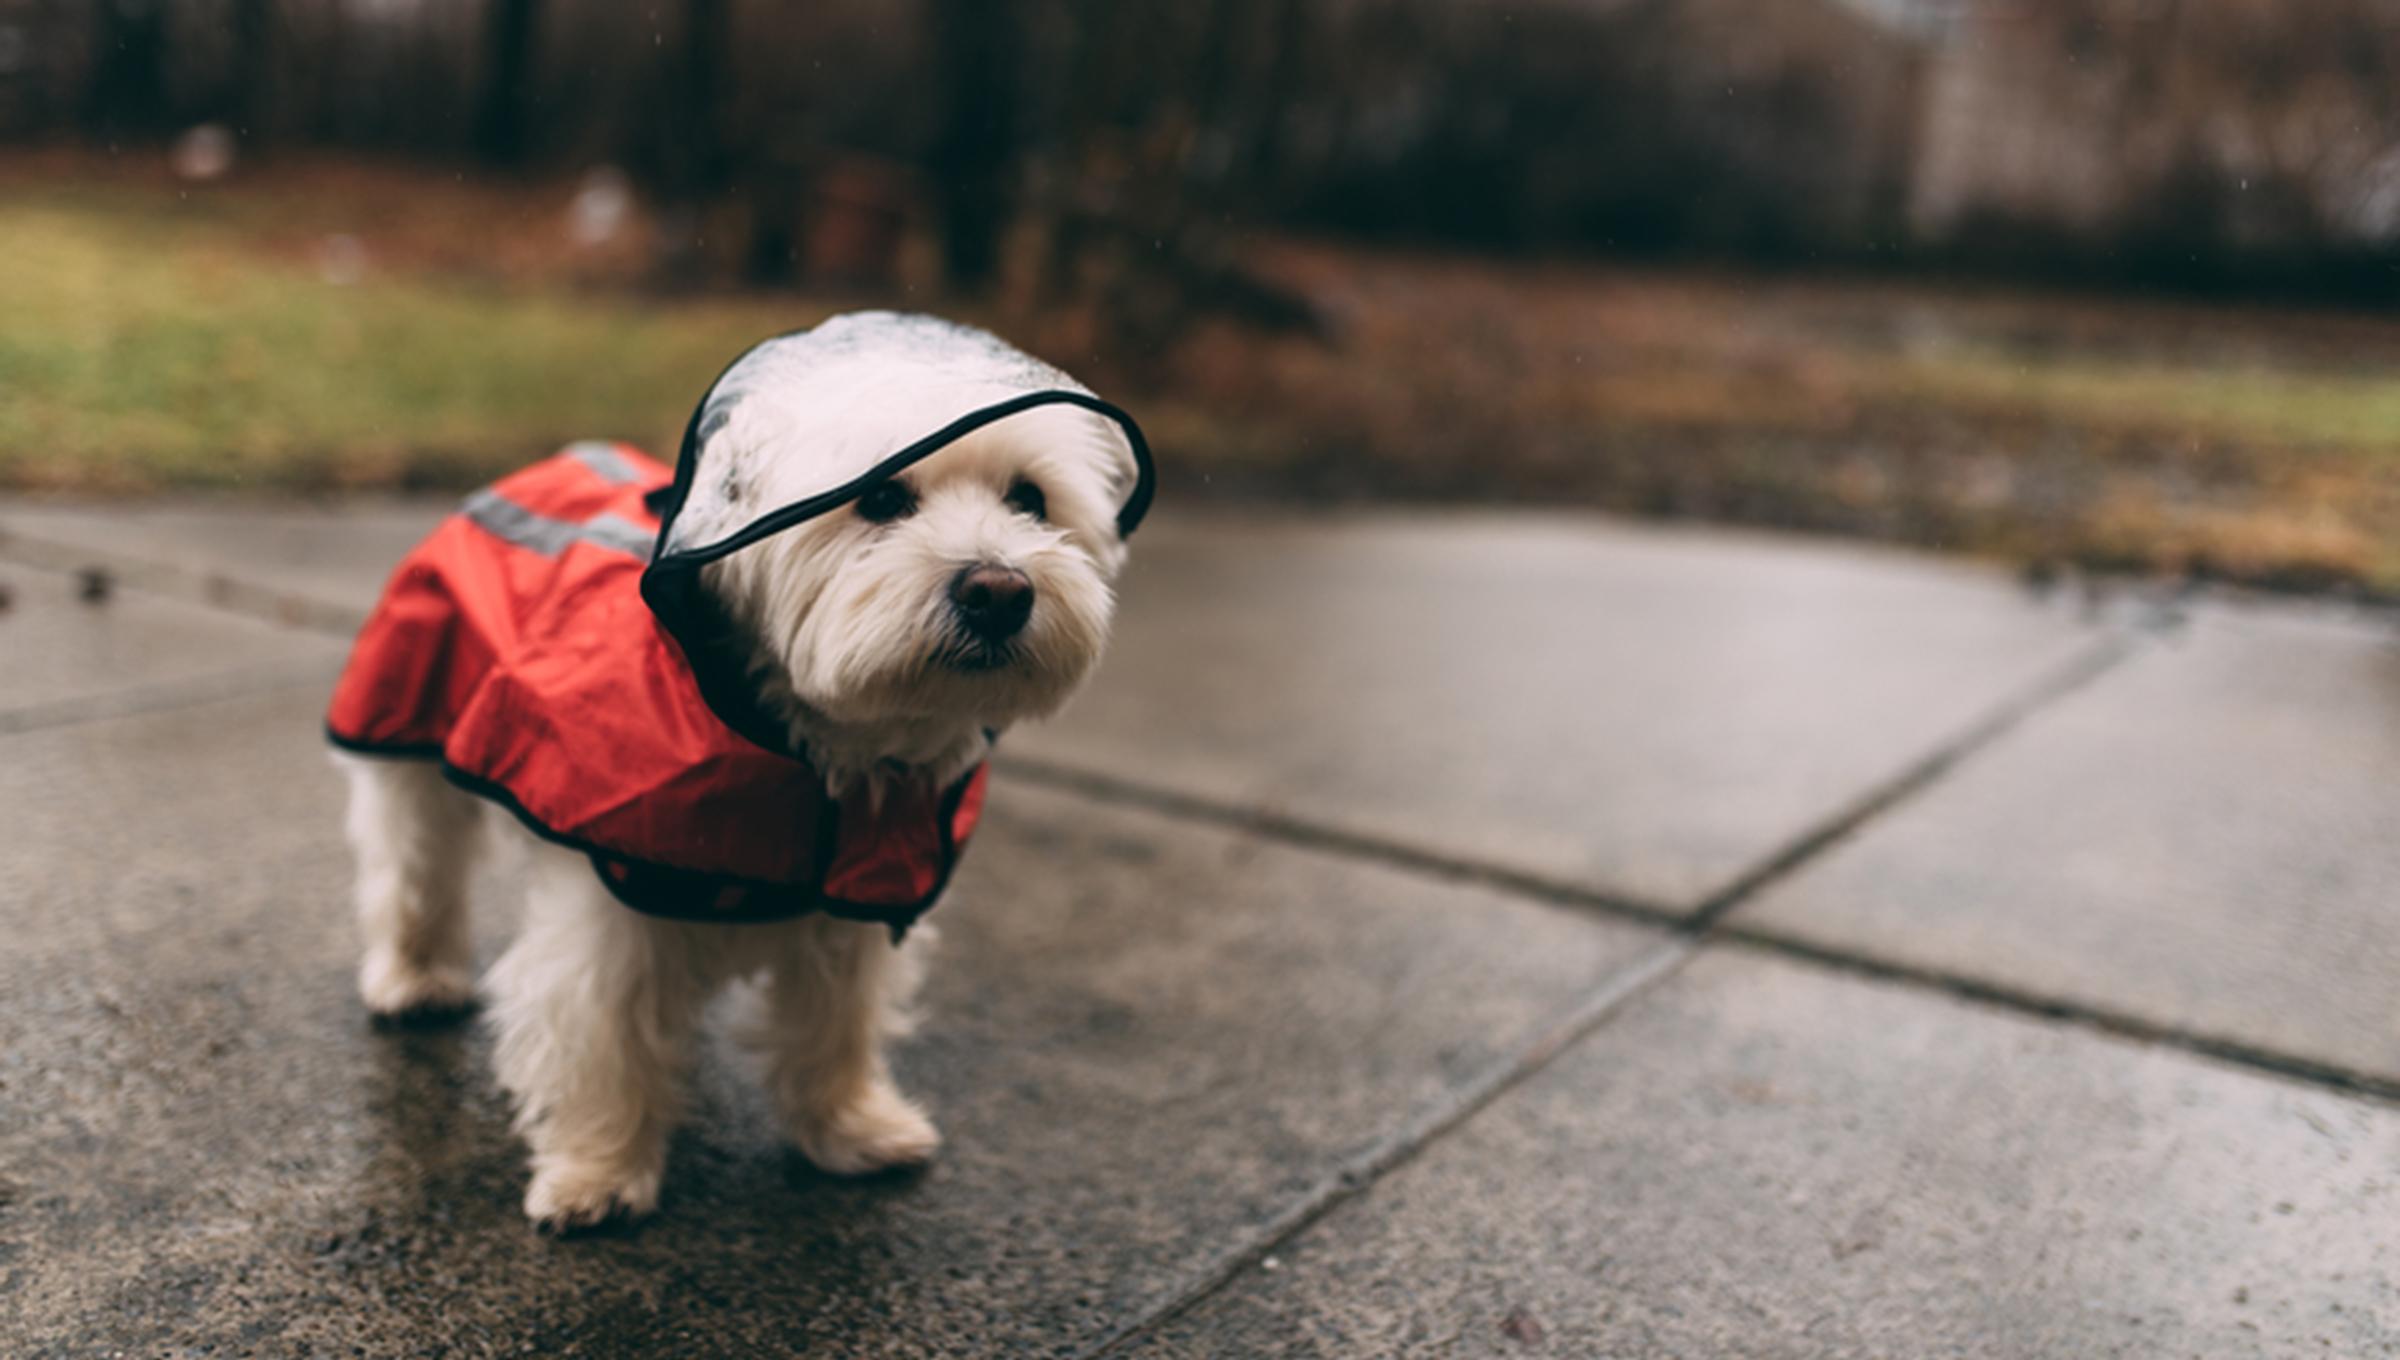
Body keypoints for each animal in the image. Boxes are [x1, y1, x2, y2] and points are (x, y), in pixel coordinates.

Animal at [328, 316, 1152, 1237]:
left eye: (1031, 500)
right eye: (880, 499)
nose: (1000, 591)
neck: (812, 751)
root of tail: (553, 458)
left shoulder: (846, 912)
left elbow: (836, 1025)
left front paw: (850, 1131)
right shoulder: (612, 908)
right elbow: (600, 1037)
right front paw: (597, 1175)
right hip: (408, 728)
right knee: (414, 871)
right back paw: (414, 981)